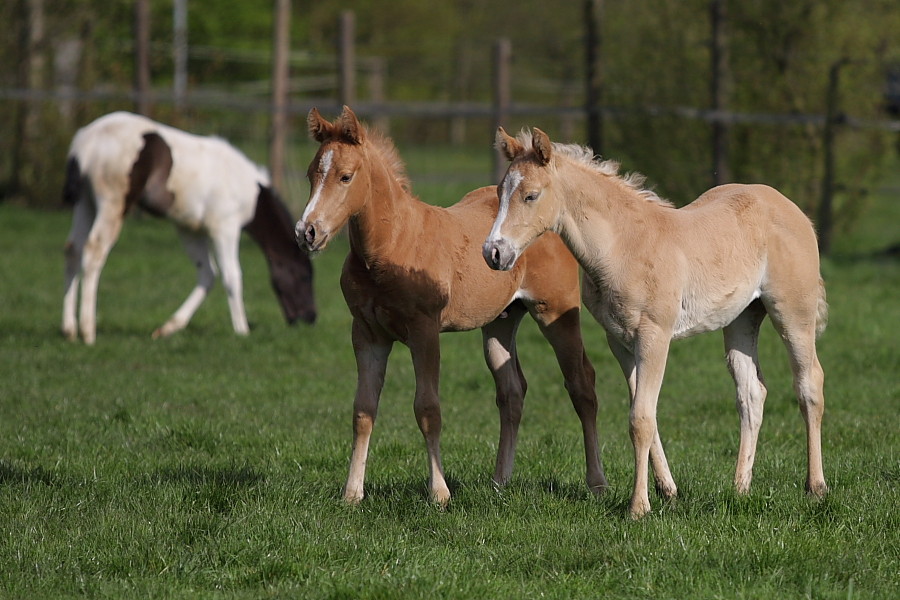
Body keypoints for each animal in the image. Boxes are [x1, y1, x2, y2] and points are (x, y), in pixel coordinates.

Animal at [62, 110, 316, 344]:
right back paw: (88, 331)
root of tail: (87, 143)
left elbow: (208, 274)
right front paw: (242, 330)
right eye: (305, 277)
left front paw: (169, 328)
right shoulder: (225, 228)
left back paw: (70, 329)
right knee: (94, 251)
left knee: (73, 249)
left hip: (85, 204)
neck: (247, 189)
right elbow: (232, 276)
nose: (309, 318)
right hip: (112, 205)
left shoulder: (190, 230)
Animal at [298, 105, 608, 504]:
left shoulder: (424, 331)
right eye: (311, 173)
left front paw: (439, 493)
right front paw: (352, 494)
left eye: (346, 176)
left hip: (555, 312)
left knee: (582, 384)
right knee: (512, 392)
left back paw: (597, 483)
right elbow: (363, 410)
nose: (307, 232)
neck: (392, 245)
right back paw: (499, 481)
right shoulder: (367, 333)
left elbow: (427, 408)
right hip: (500, 321)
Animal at [486, 125, 828, 516]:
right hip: (742, 318)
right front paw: (667, 490)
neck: (624, 247)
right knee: (751, 393)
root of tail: (792, 209)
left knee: (809, 385)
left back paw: (815, 487)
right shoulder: (620, 341)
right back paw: (740, 488)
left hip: (793, 314)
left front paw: (638, 507)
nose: (493, 253)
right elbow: (645, 414)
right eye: (499, 192)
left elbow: (640, 420)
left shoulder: (655, 336)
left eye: (531, 195)